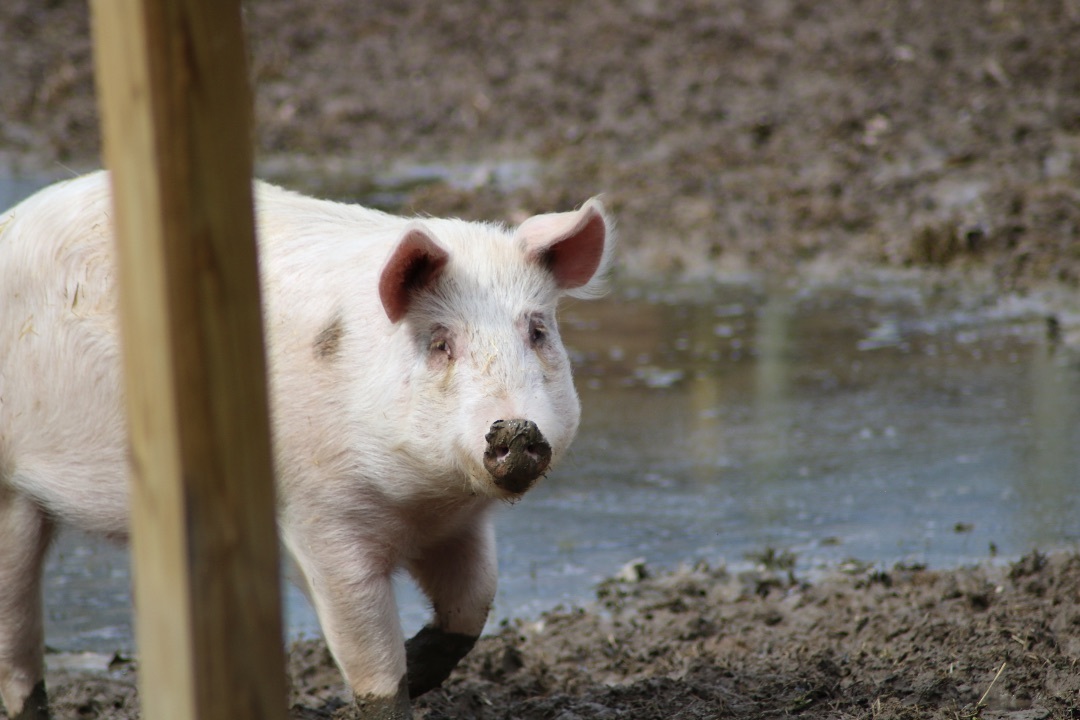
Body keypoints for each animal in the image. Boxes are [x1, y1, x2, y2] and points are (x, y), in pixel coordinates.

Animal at [0, 170, 614, 719]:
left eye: (537, 331)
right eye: (441, 342)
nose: (517, 429)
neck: (422, 502)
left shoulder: (460, 527)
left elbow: (472, 609)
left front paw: (413, 669)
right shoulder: (321, 521)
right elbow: (371, 661)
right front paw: (371, 697)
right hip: (10, 494)